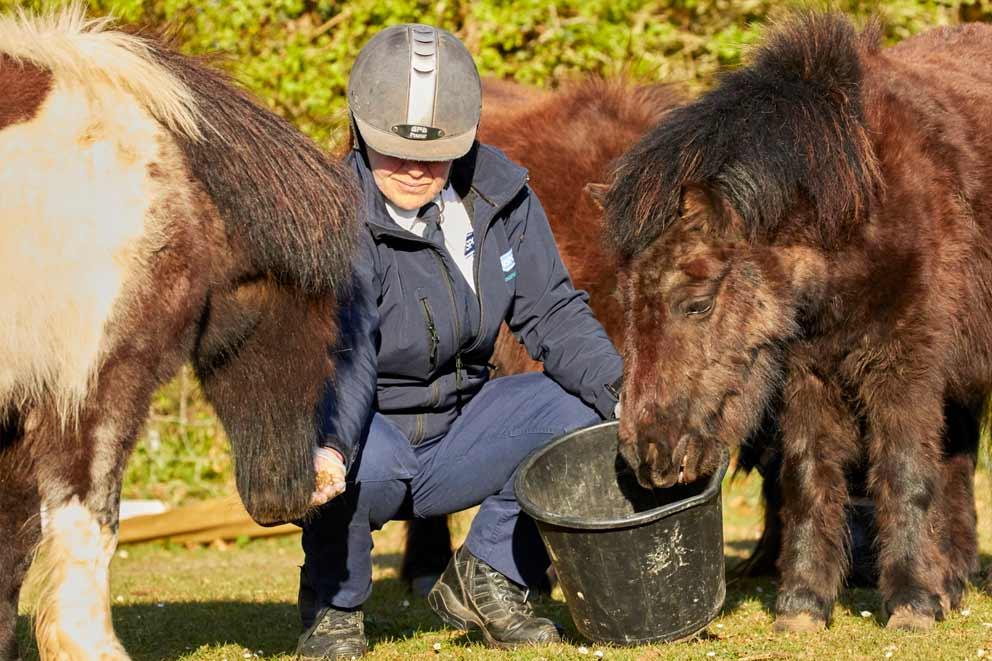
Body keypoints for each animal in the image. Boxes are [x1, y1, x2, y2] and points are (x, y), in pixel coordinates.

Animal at [604, 10, 992, 628]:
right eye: (625, 302)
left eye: (697, 302)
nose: (649, 454)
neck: (862, 202)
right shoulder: (807, 373)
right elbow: (809, 477)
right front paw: (804, 602)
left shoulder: (904, 365)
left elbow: (903, 468)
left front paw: (910, 599)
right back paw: (951, 583)